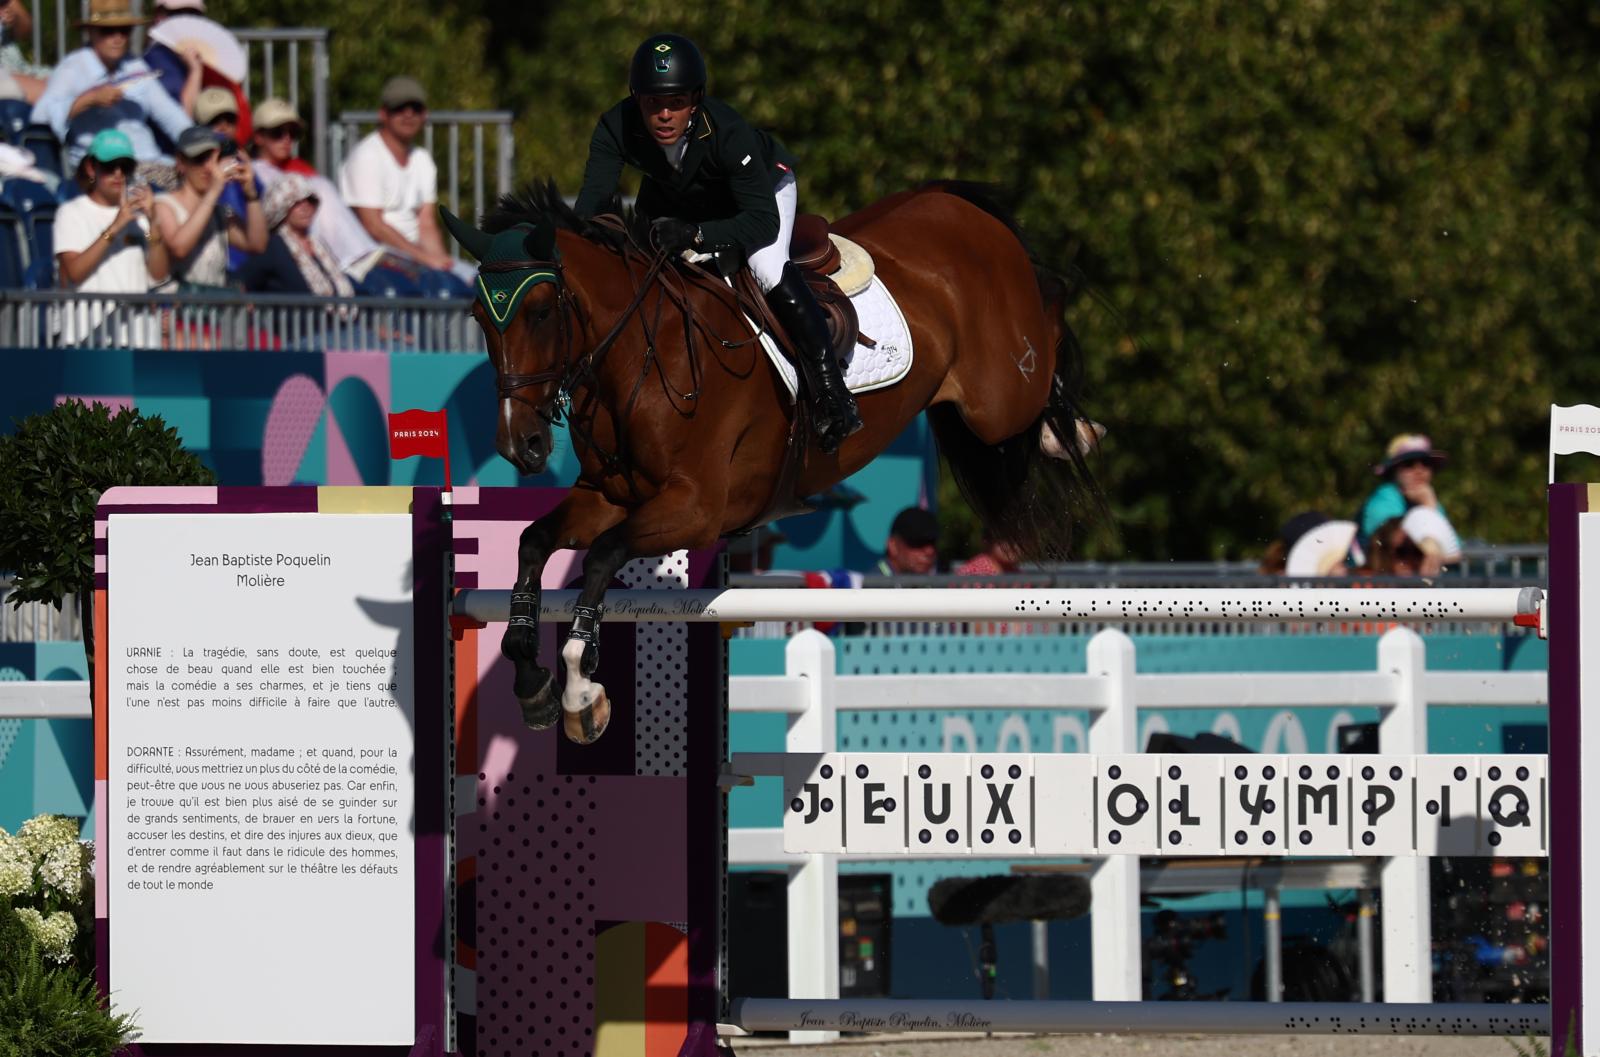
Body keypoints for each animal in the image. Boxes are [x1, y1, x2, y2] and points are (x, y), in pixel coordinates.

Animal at [444, 181, 1107, 741]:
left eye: (540, 312)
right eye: (479, 319)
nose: (521, 446)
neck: (637, 353)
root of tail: (954, 202)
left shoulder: (696, 510)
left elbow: (604, 557)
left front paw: (583, 690)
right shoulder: (608, 496)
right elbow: (534, 541)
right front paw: (532, 683)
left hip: (999, 400)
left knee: (1051, 315)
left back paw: (1074, 428)